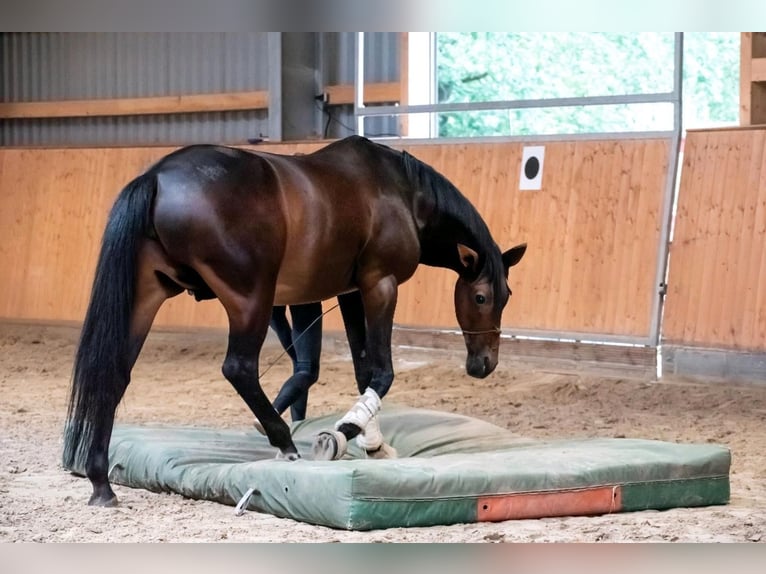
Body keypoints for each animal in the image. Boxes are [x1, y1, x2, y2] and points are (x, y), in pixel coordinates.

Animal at [61, 136, 528, 508]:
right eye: (481, 297)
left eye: (507, 297)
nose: (484, 364)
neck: (402, 192)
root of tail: (157, 177)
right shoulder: (380, 285)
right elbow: (382, 372)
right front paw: (343, 432)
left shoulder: (351, 292)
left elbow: (364, 370)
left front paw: (373, 443)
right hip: (250, 300)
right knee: (239, 368)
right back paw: (284, 441)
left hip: (147, 296)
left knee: (113, 373)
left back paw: (101, 481)